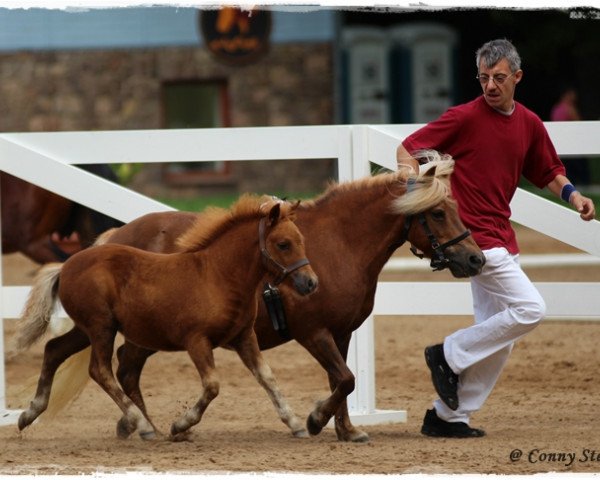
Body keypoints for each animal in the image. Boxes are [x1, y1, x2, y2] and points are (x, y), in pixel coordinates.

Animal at [15, 194, 318, 438]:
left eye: (302, 241)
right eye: (283, 244)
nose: (310, 283)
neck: (218, 276)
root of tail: (66, 266)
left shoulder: (244, 337)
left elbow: (267, 377)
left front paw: (295, 423)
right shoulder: (197, 341)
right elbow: (212, 386)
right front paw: (181, 425)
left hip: (87, 329)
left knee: (54, 349)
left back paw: (29, 414)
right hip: (101, 327)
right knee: (100, 370)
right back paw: (142, 425)